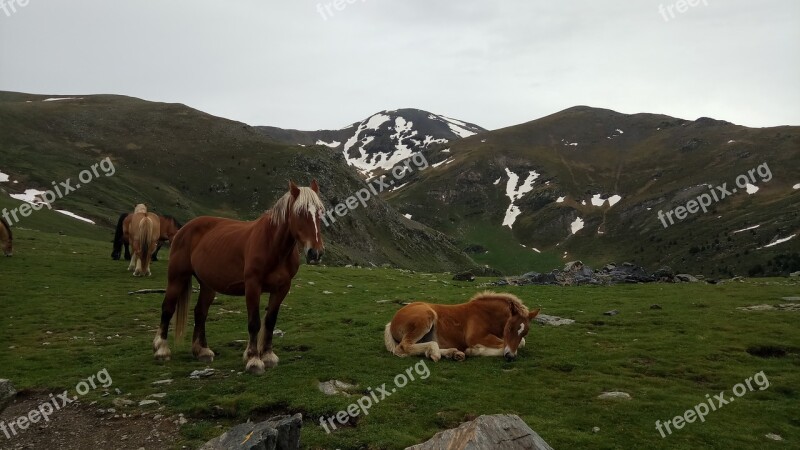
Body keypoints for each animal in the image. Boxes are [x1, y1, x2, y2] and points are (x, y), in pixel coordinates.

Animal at [152, 181, 326, 374]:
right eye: (300, 212)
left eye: (320, 212)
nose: (315, 253)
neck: (273, 246)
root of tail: (184, 229)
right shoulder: (252, 286)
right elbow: (254, 322)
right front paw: (254, 359)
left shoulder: (282, 288)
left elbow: (270, 321)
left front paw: (267, 356)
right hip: (177, 277)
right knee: (168, 308)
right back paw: (162, 349)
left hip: (207, 285)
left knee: (200, 312)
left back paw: (202, 350)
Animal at [384, 292, 540, 362]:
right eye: (509, 328)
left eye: (524, 333)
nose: (510, 357)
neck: (486, 314)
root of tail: (392, 322)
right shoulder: (475, 337)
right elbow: (502, 345)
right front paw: (474, 350)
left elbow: (521, 343)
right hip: (425, 317)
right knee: (404, 346)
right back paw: (436, 353)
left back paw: (453, 353)